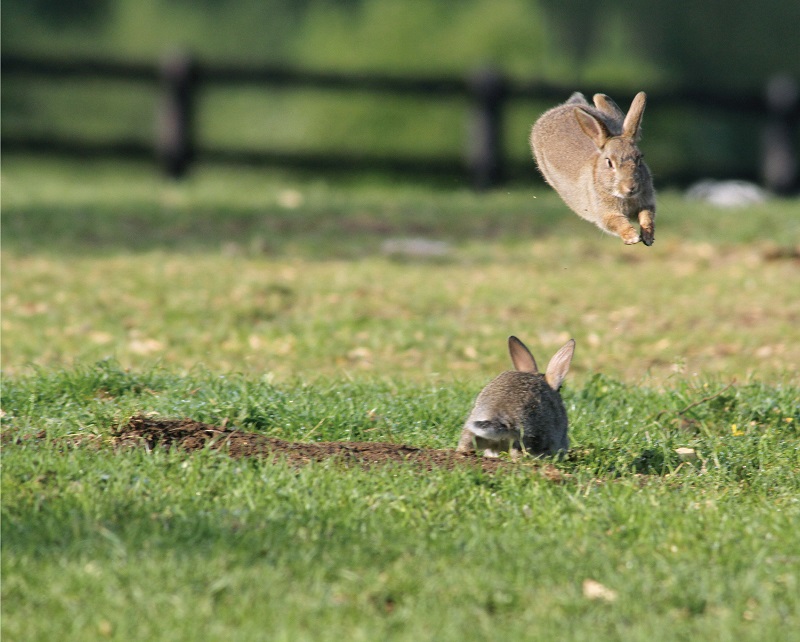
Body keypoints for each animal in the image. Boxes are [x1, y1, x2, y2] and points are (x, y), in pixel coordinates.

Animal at [528, 91, 652, 246]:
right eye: (609, 162)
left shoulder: (647, 203)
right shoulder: (605, 214)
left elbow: (647, 216)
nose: (631, 187)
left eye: (640, 158)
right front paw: (632, 237)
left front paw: (648, 237)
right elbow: (617, 222)